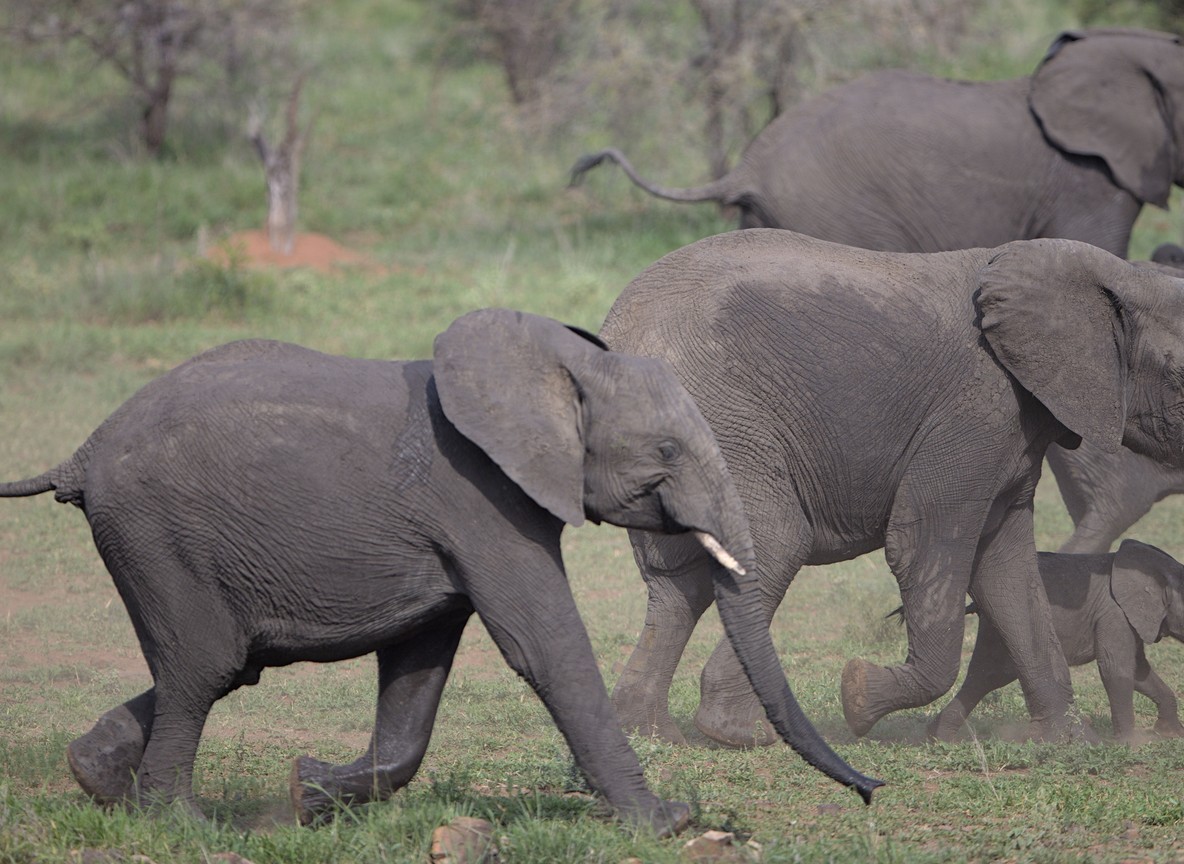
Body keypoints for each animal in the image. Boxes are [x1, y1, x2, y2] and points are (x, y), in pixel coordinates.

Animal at [0, 308, 881, 831]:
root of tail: (82, 452)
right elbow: (543, 646)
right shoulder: (481, 497)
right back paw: (182, 825)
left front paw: (310, 790)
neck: (556, 362)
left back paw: (97, 781)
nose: (872, 791)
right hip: (157, 535)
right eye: (666, 451)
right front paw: (665, 821)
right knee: (205, 666)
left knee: (220, 662)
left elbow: (419, 663)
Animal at [928, 540, 1184, 743]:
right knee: (991, 675)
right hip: (998, 627)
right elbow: (1116, 669)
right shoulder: (1114, 613)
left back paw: (941, 737)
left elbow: (1139, 671)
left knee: (984, 677)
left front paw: (1171, 734)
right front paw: (1131, 744)